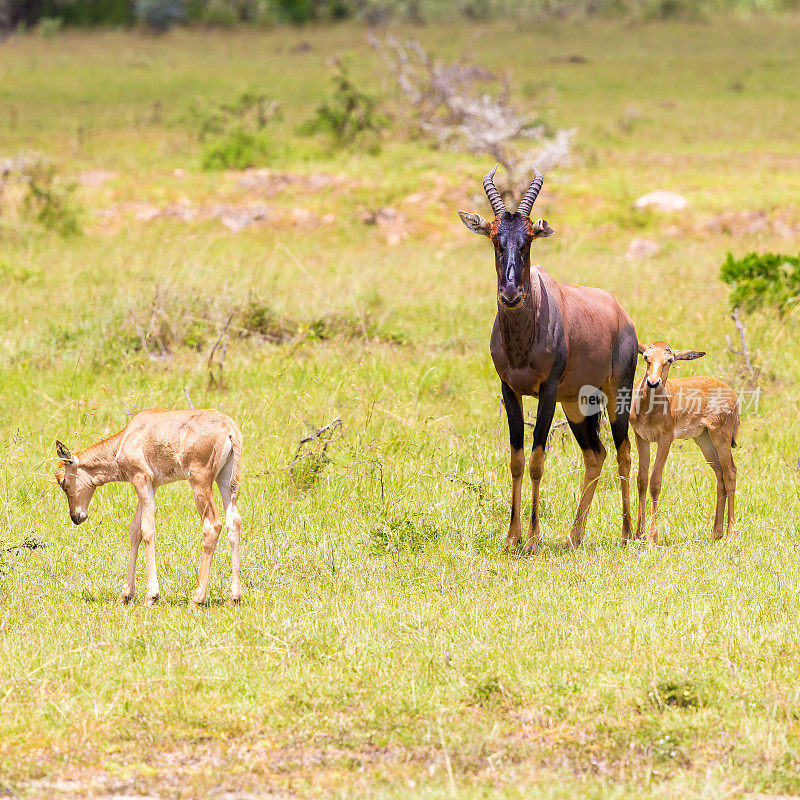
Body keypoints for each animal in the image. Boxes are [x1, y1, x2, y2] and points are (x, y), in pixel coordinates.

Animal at [55, 412, 242, 608]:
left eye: (63, 482)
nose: (76, 517)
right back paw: (234, 597)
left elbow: (147, 530)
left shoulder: (141, 478)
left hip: (199, 481)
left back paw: (197, 598)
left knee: (212, 525)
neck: (128, 435)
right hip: (225, 479)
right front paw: (125, 595)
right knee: (234, 522)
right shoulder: (152, 485)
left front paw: (151, 596)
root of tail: (229, 427)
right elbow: (134, 531)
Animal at [632, 340, 736, 544]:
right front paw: (638, 534)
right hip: (704, 439)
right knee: (720, 474)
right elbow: (642, 481)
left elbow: (655, 482)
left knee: (730, 474)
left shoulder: (665, 439)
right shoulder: (641, 438)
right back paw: (716, 533)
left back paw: (730, 535)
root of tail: (732, 394)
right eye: (646, 357)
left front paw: (652, 538)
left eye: (670, 360)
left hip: (721, 437)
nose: (653, 382)